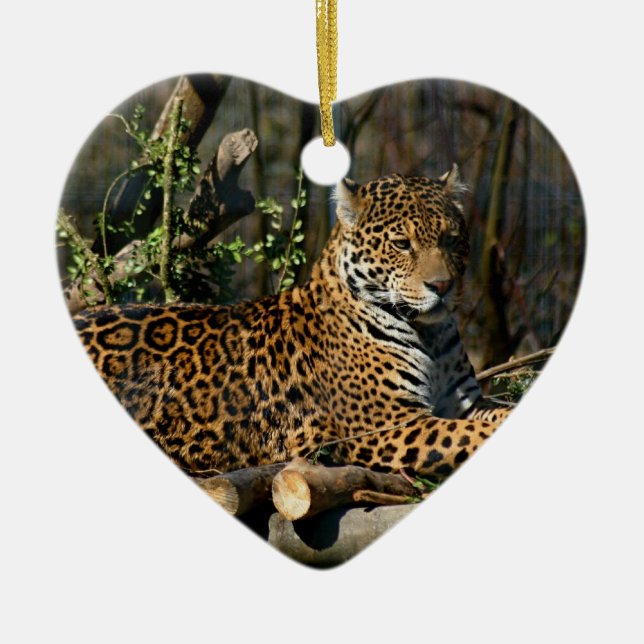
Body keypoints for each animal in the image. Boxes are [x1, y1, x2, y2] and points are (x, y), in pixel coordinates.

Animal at [73, 166, 510, 482]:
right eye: (402, 244)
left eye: (452, 239)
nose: (442, 286)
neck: (429, 332)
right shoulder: (387, 427)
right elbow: (465, 435)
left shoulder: (465, 403)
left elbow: (493, 414)